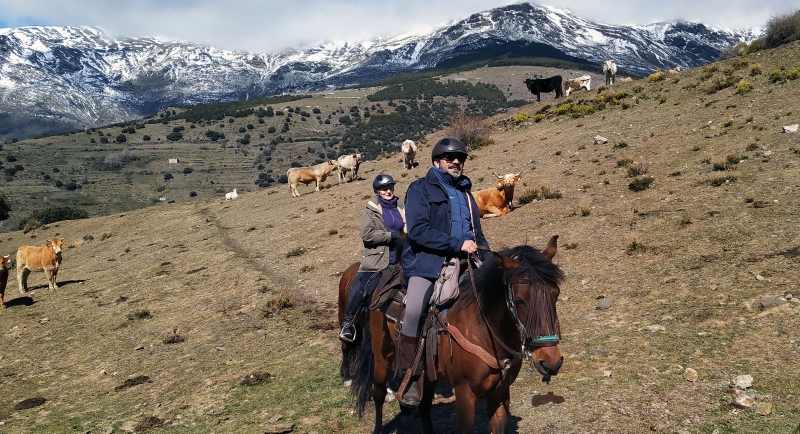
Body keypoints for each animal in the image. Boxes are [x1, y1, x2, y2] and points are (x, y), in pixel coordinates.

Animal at [342, 237, 564, 434]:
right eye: (520, 301)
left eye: (556, 294)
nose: (551, 362)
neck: (484, 330)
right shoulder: (464, 393)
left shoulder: (500, 393)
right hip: (383, 356)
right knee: (378, 393)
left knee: (424, 404)